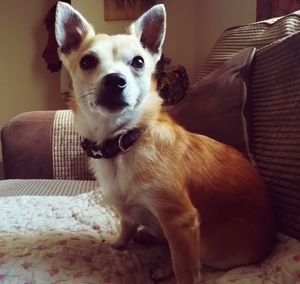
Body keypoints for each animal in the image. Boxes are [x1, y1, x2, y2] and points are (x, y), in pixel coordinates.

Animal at [55, 2, 276, 284]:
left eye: (138, 62)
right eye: (87, 61)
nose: (115, 79)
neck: (124, 141)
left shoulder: (180, 221)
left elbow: (185, 268)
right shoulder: (128, 211)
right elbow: (126, 226)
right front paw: (118, 245)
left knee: (190, 260)